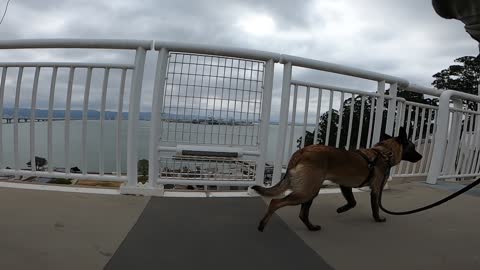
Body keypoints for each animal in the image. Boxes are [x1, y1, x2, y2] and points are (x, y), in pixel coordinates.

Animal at [253, 126, 422, 232]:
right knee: (275, 202)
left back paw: (311, 227)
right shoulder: (375, 189)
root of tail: (301, 152)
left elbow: (352, 202)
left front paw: (341, 209)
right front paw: (378, 219)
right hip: (307, 192)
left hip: (311, 191)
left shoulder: (345, 185)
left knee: (303, 214)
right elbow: (374, 207)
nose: (420, 156)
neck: (383, 153)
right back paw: (262, 225)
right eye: (413, 147)